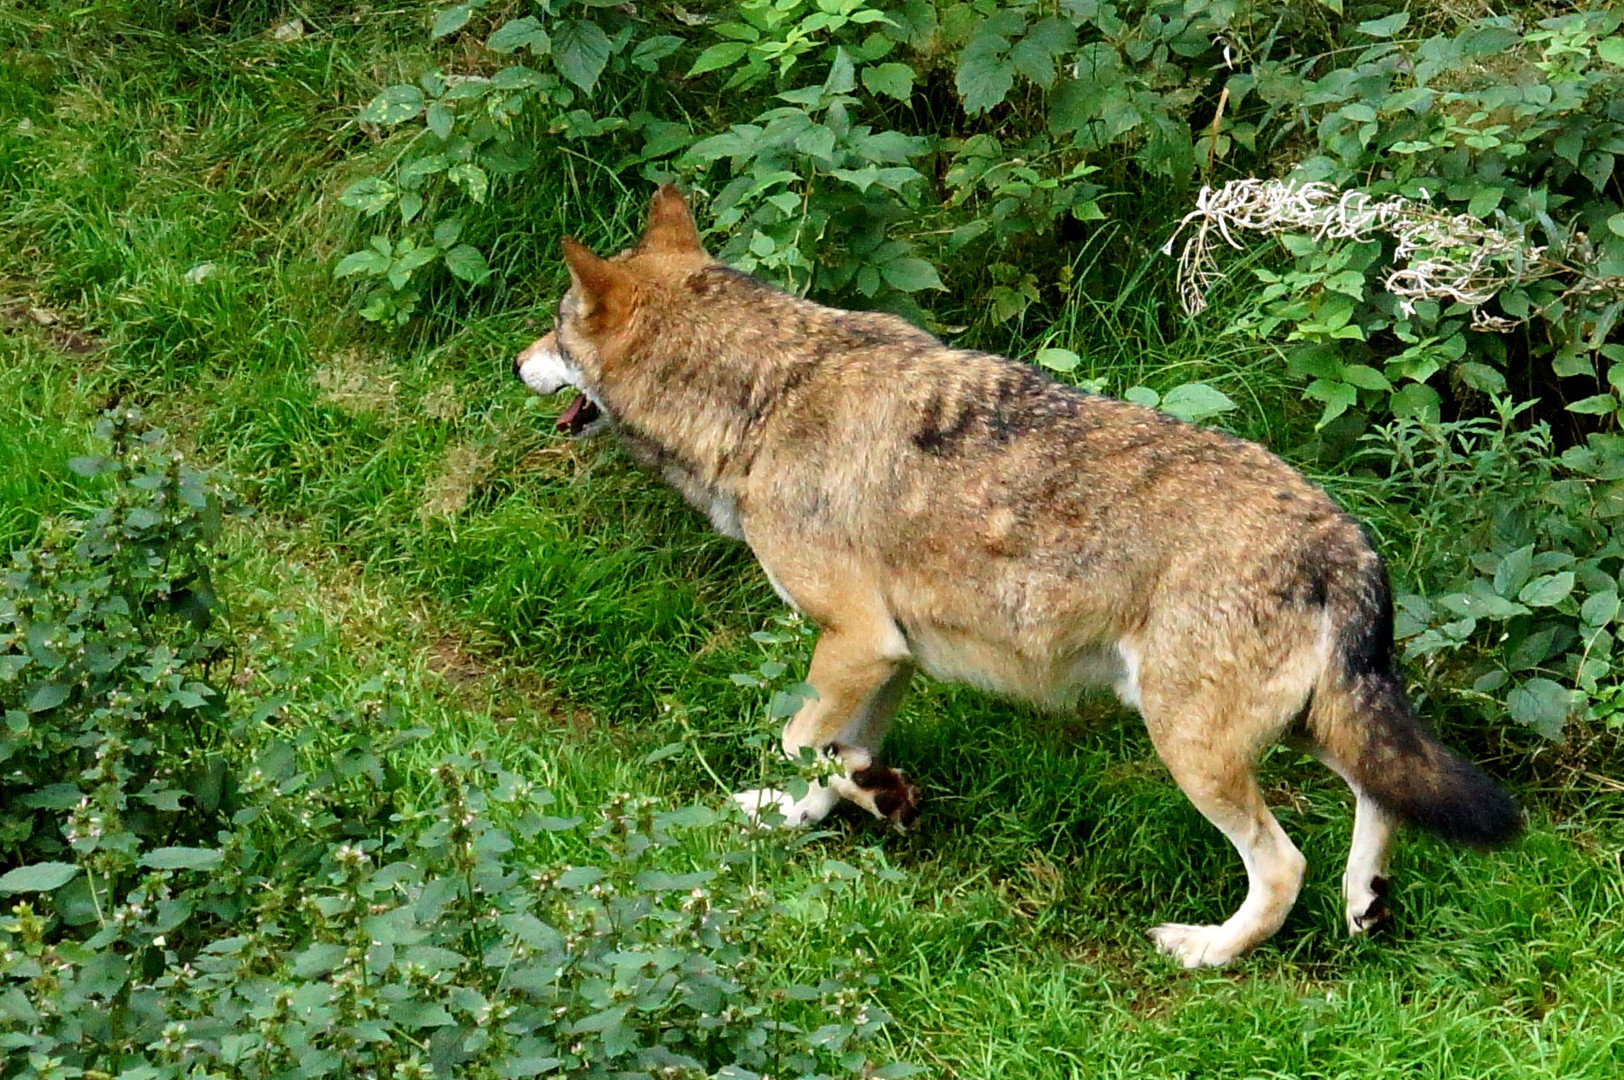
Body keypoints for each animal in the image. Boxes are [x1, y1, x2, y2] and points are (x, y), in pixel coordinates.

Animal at [509, 181, 1520, 961]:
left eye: (554, 331)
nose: (515, 362)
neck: (769, 395)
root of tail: (1346, 539)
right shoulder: (887, 659)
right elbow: (829, 758)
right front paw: (814, 813)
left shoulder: (856, 643)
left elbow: (802, 744)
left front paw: (868, 797)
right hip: (1299, 724)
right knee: (1378, 798)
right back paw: (1367, 904)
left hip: (1190, 745)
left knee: (1284, 866)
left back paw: (1206, 951)